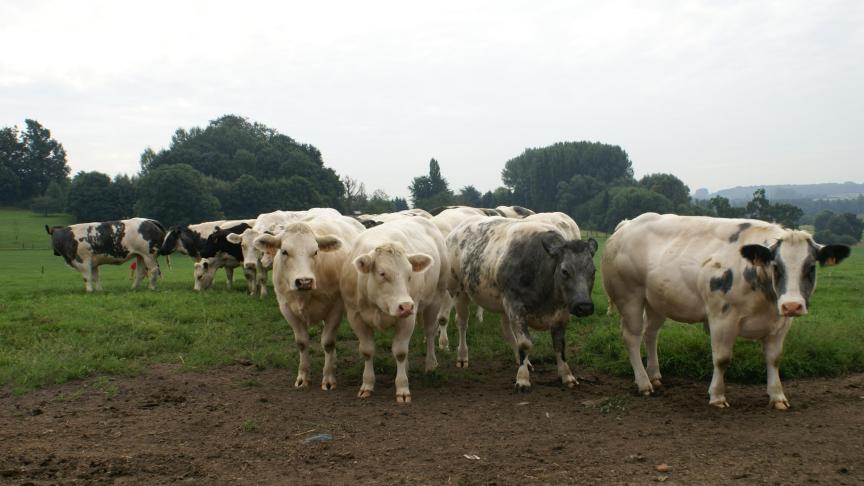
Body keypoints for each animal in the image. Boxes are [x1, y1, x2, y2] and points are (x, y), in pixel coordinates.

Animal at [252, 216, 363, 390]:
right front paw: (303, 377)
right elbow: (302, 343)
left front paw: (328, 378)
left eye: (316, 251)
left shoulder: (336, 308)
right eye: (284, 251)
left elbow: (328, 342)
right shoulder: (286, 308)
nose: (304, 281)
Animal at [340, 217, 449, 403]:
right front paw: (367, 385)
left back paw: (430, 364)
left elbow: (400, 352)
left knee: (429, 333)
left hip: (435, 299)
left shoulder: (408, 317)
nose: (406, 306)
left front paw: (402, 388)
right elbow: (367, 351)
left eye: (410, 275)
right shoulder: (355, 316)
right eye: (382, 273)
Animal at [447, 218, 598, 390]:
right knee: (462, 323)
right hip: (459, 291)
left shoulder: (562, 314)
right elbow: (525, 344)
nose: (584, 306)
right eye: (565, 271)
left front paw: (567, 375)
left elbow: (559, 345)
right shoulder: (516, 307)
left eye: (593, 271)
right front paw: (523, 379)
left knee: (507, 331)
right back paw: (462, 356)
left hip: (502, 304)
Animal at [601, 213, 851, 409]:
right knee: (632, 336)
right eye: (776, 266)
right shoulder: (722, 318)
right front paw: (717, 396)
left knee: (650, 334)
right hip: (629, 297)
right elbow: (722, 359)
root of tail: (627, 225)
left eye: (810, 268)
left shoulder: (780, 324)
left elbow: (774, 359)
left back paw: (654, 376)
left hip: (657, 301)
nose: (792, 305)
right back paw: (643, 383)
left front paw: (777, 396)